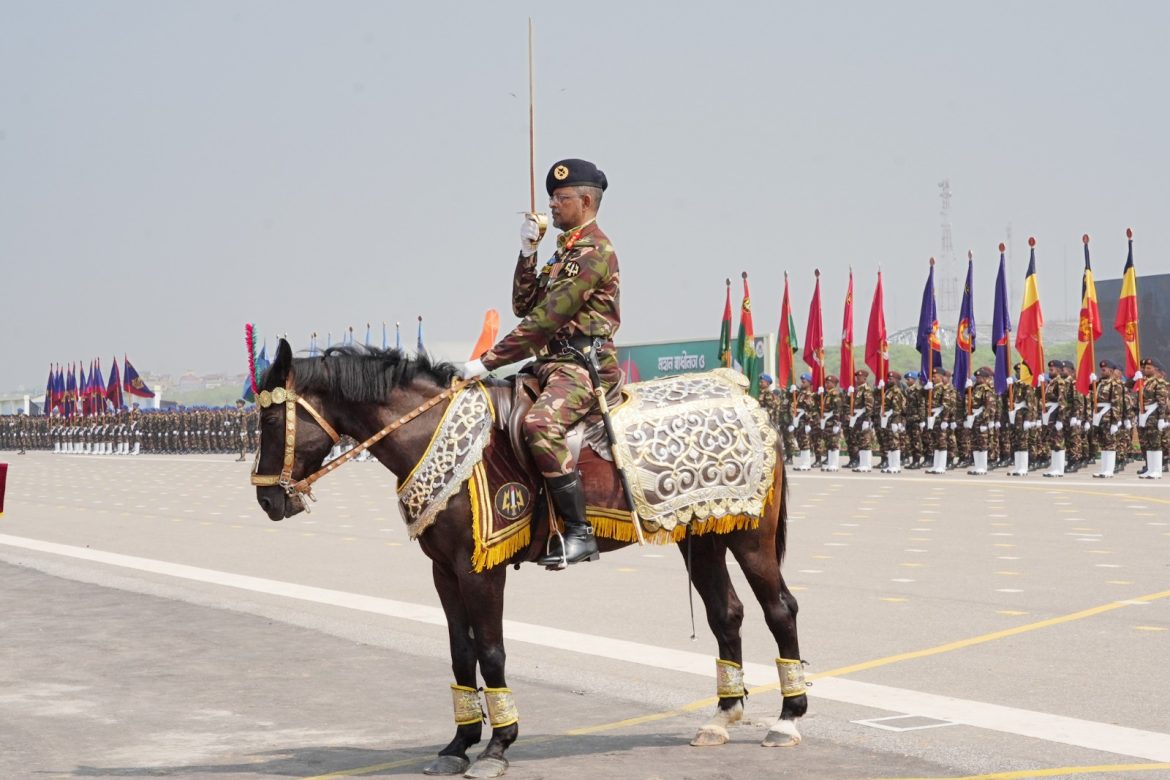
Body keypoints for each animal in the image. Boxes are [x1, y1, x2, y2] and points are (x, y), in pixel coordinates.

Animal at [252, 339, 806, 778]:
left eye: (272, 417)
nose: (267, 500)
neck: (432, 432)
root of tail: (749, 401)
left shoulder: (481, 569)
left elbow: (491, 650)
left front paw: (498, 745)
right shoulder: (443, 571)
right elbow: (461, 651)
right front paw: (458, 744)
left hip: (750, 536)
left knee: (779, 608)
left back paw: (787, 718)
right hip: (706, 534)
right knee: (725, 613)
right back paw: (722, 717)